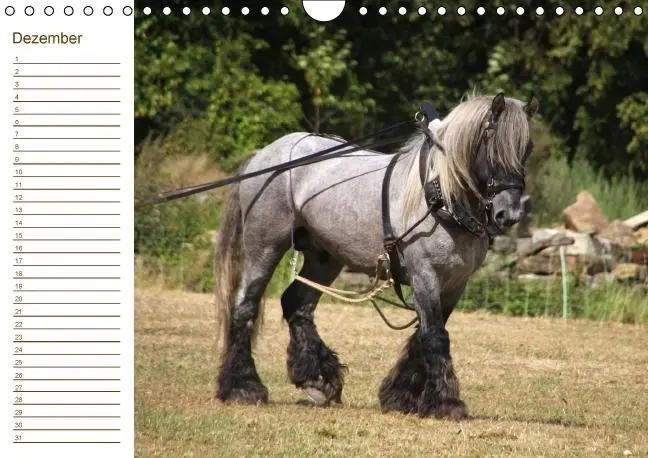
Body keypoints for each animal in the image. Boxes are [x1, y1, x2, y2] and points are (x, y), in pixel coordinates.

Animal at [213, 92, 539, 419]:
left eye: (527, 148)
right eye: (491, 144)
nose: (509, 214)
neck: (439, 196)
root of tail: (264, 154)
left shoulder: (455, 283)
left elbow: (424, 335)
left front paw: (401, 395)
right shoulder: (425, 275)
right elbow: (435, 335)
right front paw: (446, 403)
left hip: (324, 257)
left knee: (297, 303)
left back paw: (317, 379)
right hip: (264, 247)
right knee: (245, 307)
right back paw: (243, 386)